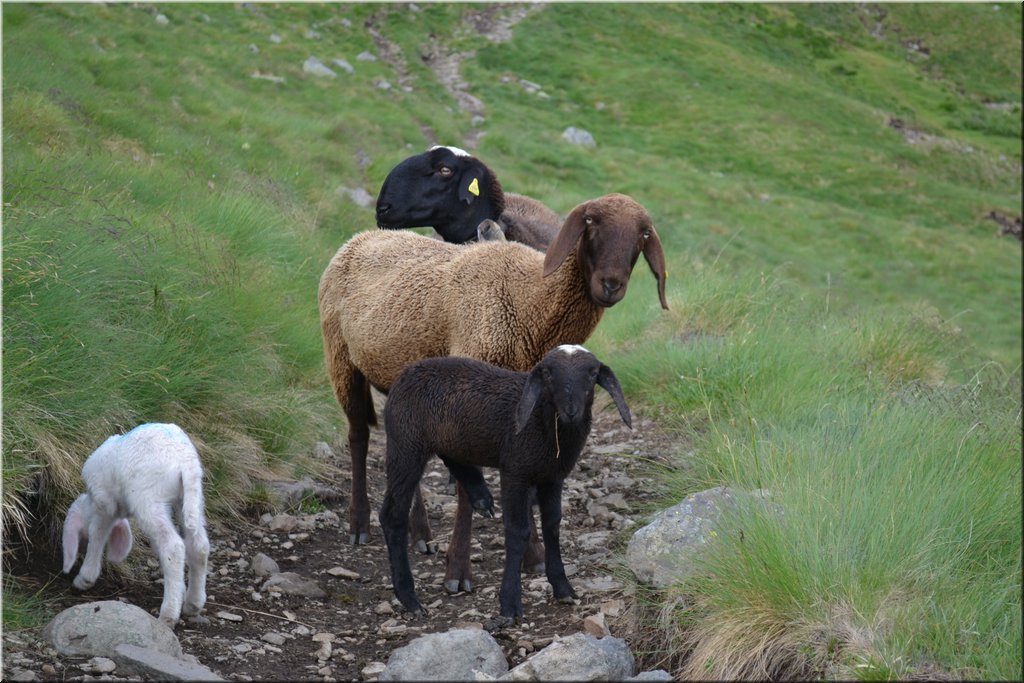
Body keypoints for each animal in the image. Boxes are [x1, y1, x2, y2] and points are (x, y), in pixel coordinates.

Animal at [61, 423, 209, 626]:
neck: (89, 505)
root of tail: (185, 462)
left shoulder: (104, 504)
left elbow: (97, 535)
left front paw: (85, 578)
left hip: (148, 498)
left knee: (174, 547)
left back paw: (168, 614)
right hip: (190, 500)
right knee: (199, 546)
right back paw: (193, 603)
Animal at [319, 191, 671, 593]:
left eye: (643, 235)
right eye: (590, 223)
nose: (611, 285)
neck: (529, 300)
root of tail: (363, 236)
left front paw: (533, 555)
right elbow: (466, 490)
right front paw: (458, 571)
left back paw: (420, 533)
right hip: (341, 358)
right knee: (358, 437)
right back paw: (359, 524)